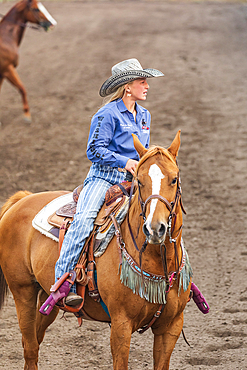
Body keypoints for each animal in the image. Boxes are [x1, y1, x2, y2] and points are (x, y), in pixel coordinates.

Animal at [0, 131, 192, 370]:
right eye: (139, 181)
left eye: (174, 179)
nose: (155, 228)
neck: (158, 263)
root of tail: (22, 199)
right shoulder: (121, 325)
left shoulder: (171, 327)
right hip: (22, 291)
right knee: (30, 347)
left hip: (47, 297)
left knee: (34, 341)